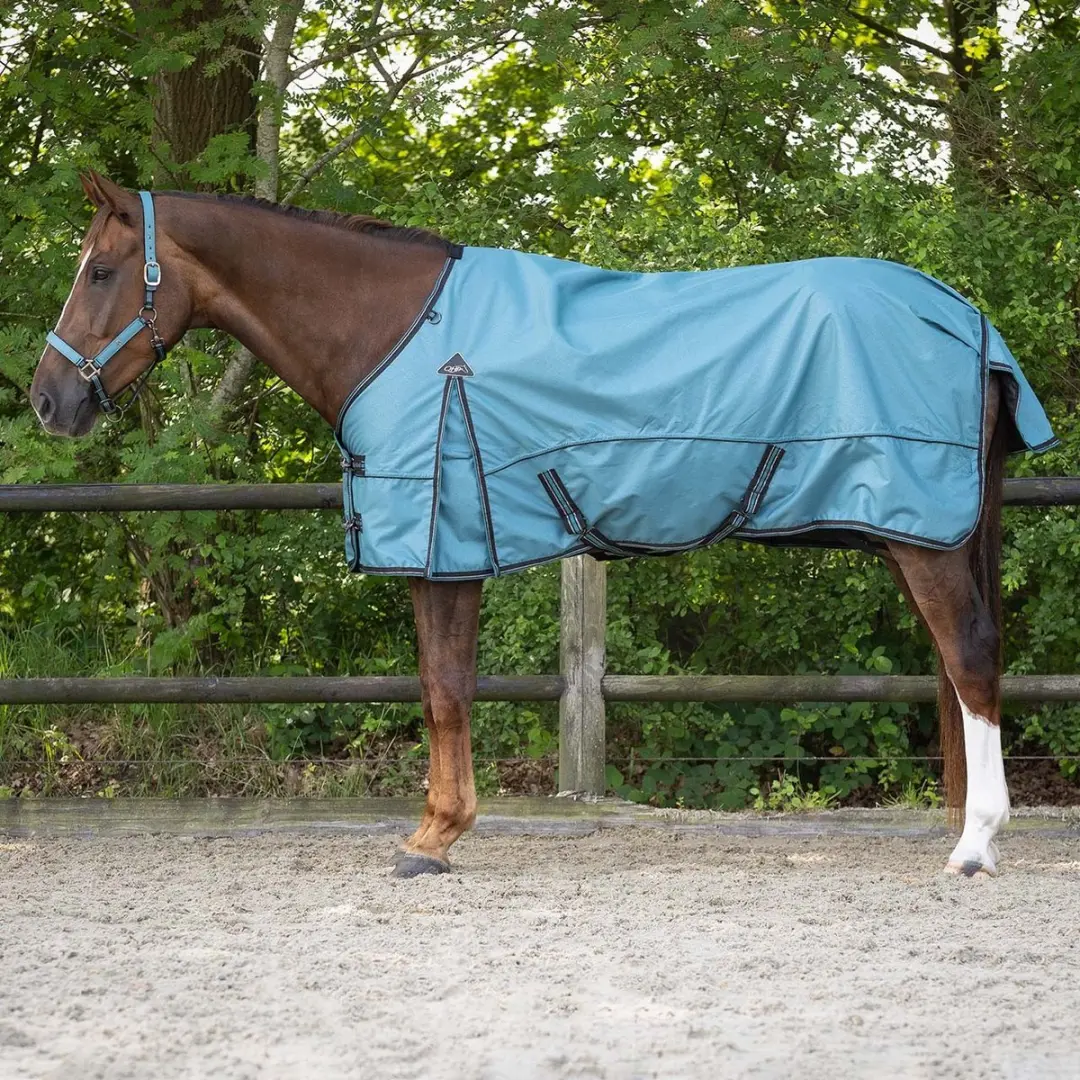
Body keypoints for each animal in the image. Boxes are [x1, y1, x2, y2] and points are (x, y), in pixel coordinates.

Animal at [31, 171, 1056, 878]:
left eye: (101, 270)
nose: (46, 401)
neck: (394, 331)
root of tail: (963, 315)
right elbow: (443, 690)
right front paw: (436, 829)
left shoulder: (443, 552)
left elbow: (444, 691)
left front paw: (434, 839)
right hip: (926, 534)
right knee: (957, 665)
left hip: (922, 531)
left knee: (968, 657)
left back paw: (976, 846)